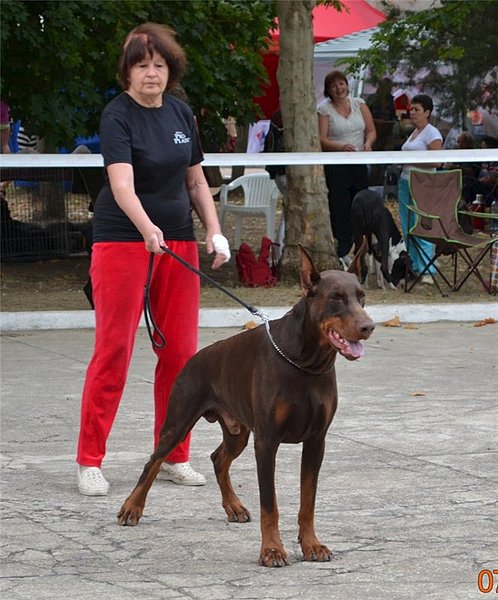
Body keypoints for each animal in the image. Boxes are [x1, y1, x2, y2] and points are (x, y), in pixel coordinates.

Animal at [116, 244, 374, 568]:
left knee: (218, 458)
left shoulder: (317, 440)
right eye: (336, 298)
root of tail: (194, 359)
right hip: (180, 419)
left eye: (361, 295)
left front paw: (311, 544)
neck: (306, 364)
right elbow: (270, 504)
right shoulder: (266, 441)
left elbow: (308, 501)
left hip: (237, 431)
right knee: (153, 461)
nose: (368, 326)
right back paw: (131, 508)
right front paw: (272, 550)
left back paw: (234, 507)